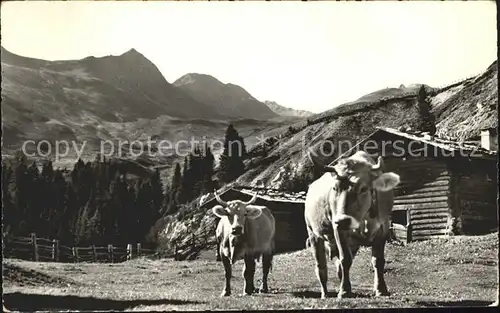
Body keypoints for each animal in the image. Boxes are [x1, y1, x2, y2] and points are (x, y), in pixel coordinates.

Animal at [302, 150, 400, 298]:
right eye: (335, 188)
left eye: (363, 189)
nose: (343, 220)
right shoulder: (338, 229)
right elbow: (345, 260)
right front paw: (344, 291)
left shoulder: (383, 227)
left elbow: (378, 261)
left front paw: (381, 289)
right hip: (313, 233)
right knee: (321, 267)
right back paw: (325, 294)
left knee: (338, 268)